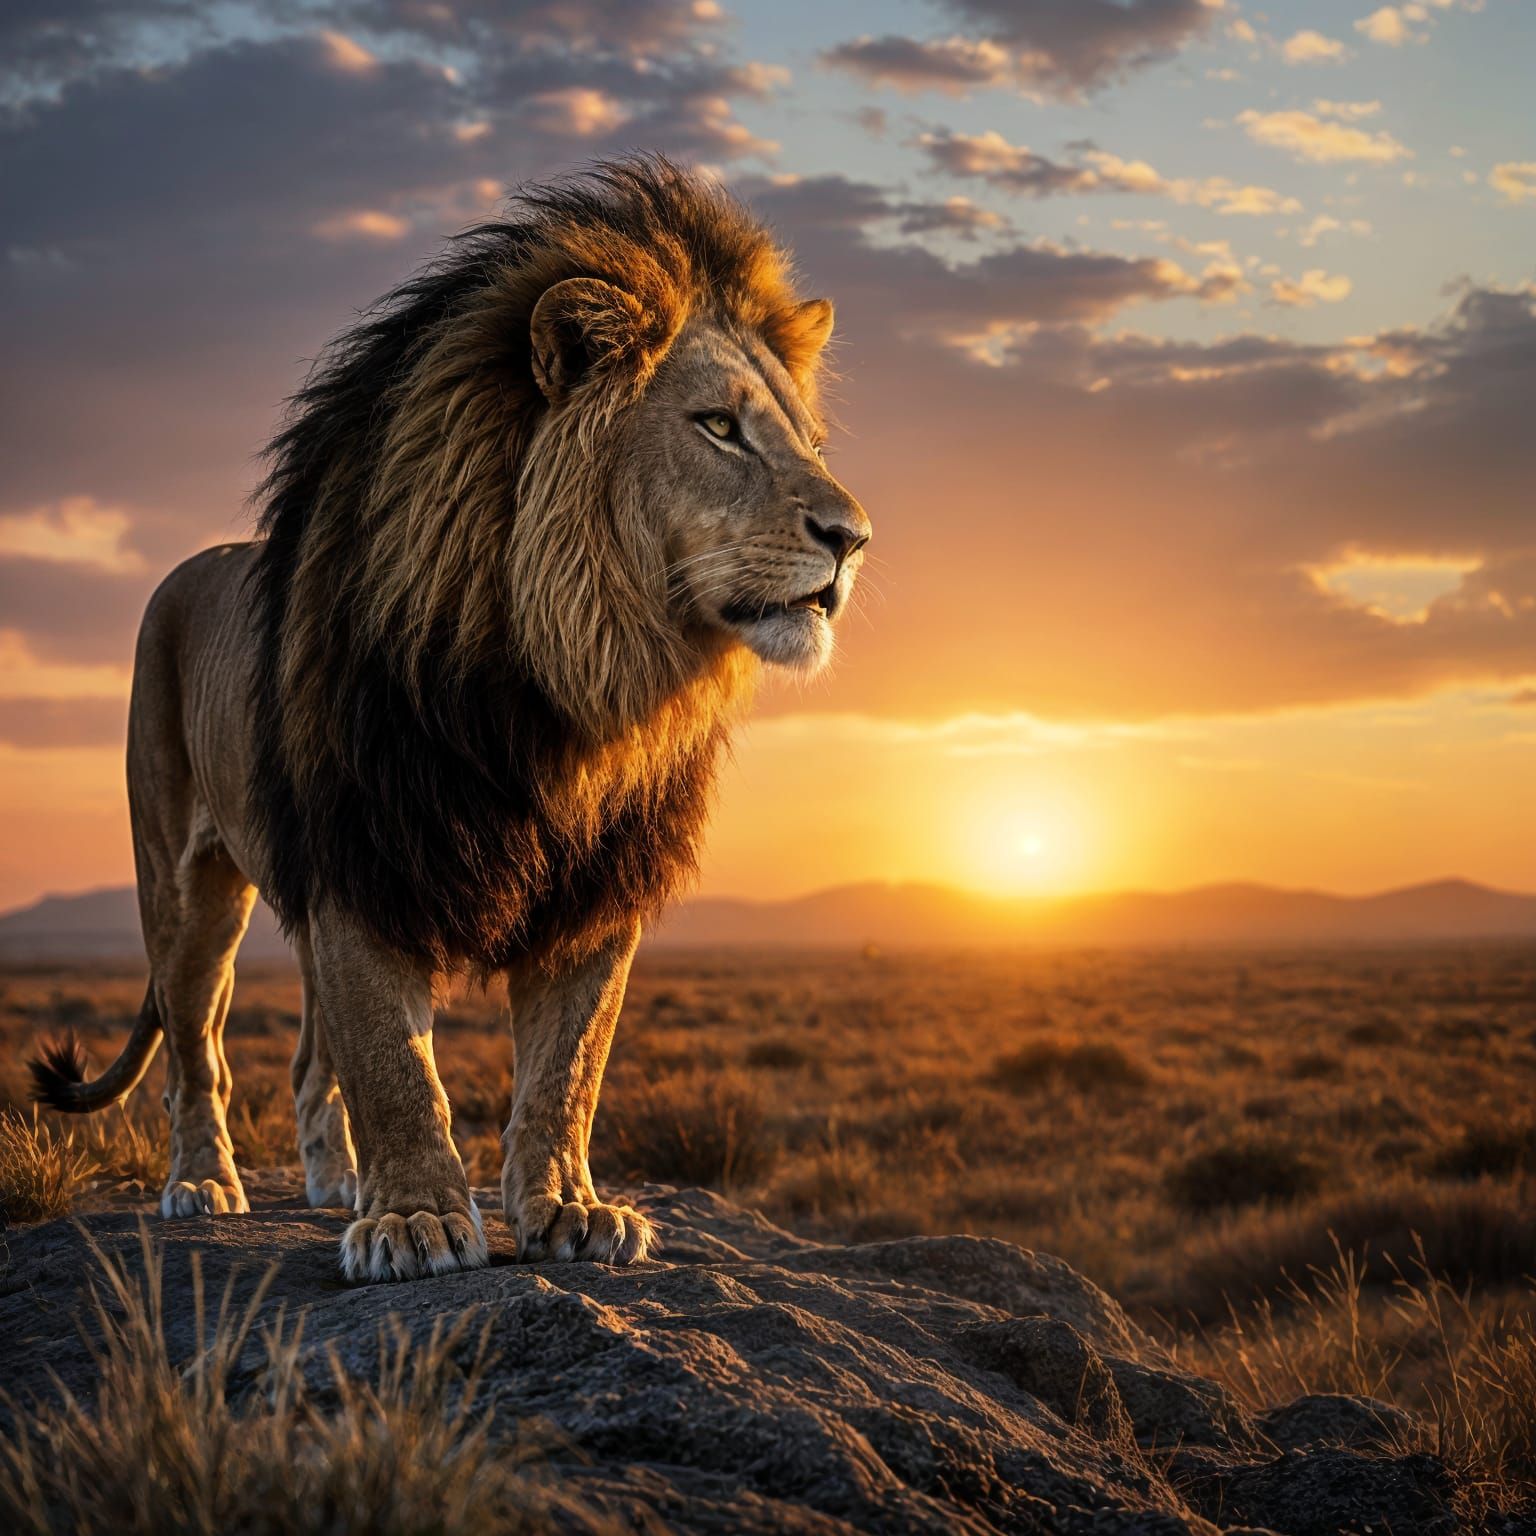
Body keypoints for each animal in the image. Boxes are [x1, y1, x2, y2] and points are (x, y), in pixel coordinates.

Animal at [29, 157, 871, 1283]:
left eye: (806, 439)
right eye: (719, 425)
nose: (854, 536)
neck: (562, 677)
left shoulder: (599, 878)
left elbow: (569, 1064)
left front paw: (570, 1207)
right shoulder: (363, 847)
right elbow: (394, 1059)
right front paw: (418, 1219)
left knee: (308, 1051)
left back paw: (335, 1181)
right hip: (186, 884)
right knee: (196, 1045)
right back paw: (203, 1185)